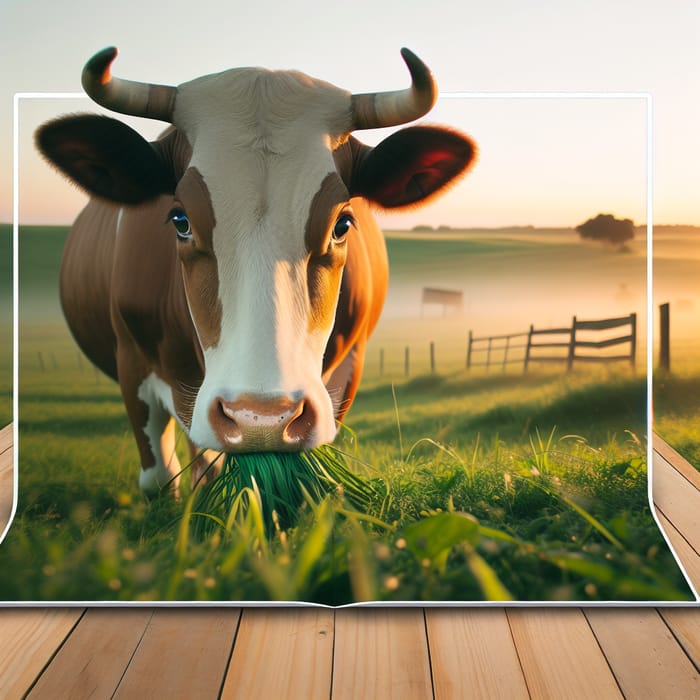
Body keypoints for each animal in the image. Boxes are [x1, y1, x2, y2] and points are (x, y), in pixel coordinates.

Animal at [35, 47, 478, 498]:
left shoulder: (346, 368)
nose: (262, 420)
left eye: (342, 224)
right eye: (180, 220)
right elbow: (159, 478)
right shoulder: (131, 360)